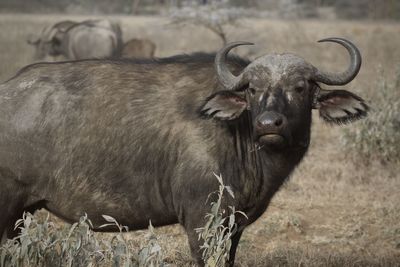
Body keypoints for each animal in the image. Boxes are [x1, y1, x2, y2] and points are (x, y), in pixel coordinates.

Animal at [0, 37, 368, 266]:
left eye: (301, 87)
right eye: (252, 89)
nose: (269, 123)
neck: (240, 133)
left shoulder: (233, 226)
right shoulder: (202, 221)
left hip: (22, 214)